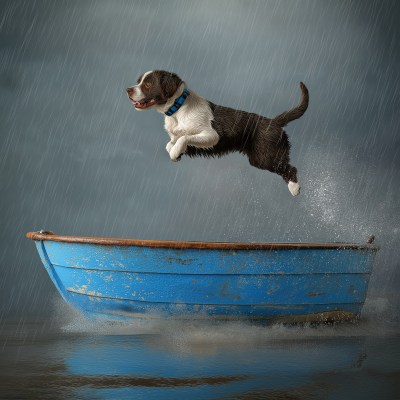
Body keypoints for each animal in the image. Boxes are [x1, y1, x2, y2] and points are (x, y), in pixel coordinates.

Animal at [126, 72, 308, 198]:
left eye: (148, 83)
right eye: (139, 81)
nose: (128, 89)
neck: (178, 108)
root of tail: (274, 121)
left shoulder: (211, 135)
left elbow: (184, 137)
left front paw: (175, 153)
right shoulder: (177, 137)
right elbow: (170, 144)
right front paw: (176, 153)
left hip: (265, 156)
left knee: (290, 168)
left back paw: (295, 189)